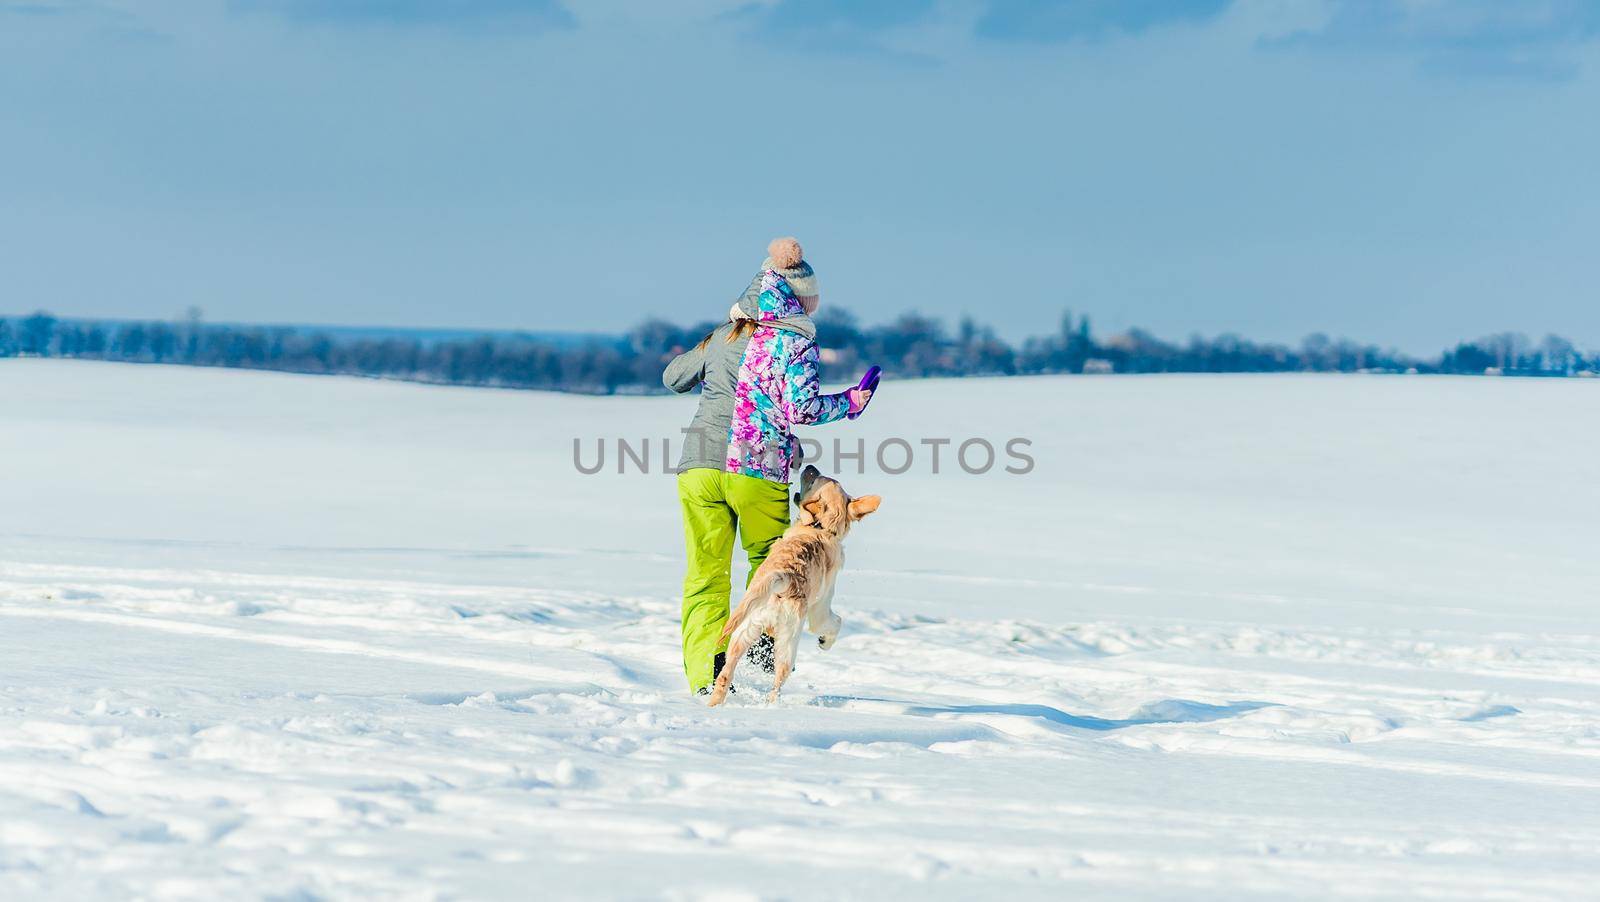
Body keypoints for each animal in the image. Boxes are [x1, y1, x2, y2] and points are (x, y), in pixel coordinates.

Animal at [710, 470, 889, 706]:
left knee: (724, 674)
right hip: (788, 643)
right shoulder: (820, 609)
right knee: (776, 684)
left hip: (743, 632)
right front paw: (824, 642)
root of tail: (783, 577)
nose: (810, 466)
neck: (821, 528)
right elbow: (836, 622)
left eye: (813, 480)